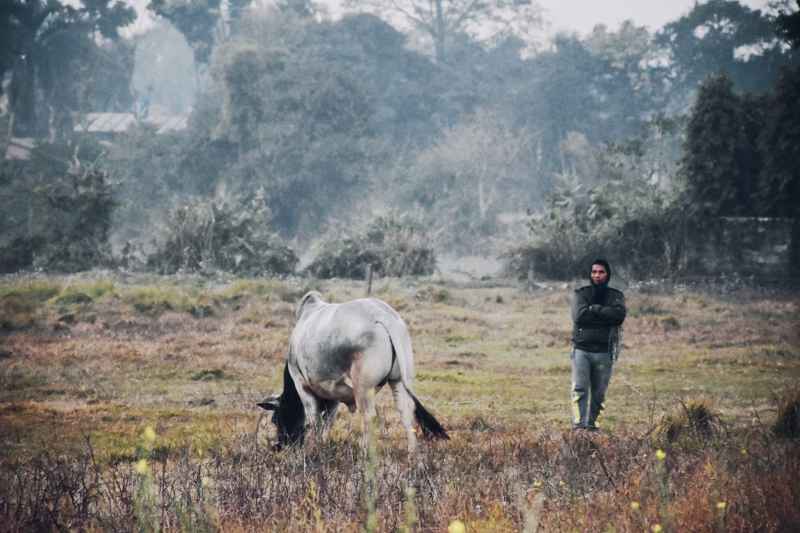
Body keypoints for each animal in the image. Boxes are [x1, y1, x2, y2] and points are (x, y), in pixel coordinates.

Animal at [262, 290, 450, 448]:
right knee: (406, 414)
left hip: (363, 387)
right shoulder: (332, 396)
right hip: (399, 381)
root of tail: (384, 317)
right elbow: (326, 422)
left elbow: (314, 420)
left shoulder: (302, 384)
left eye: (275, 419)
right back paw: (413, 455)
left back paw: (365, 451)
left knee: (369, 416)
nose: (280, 445)